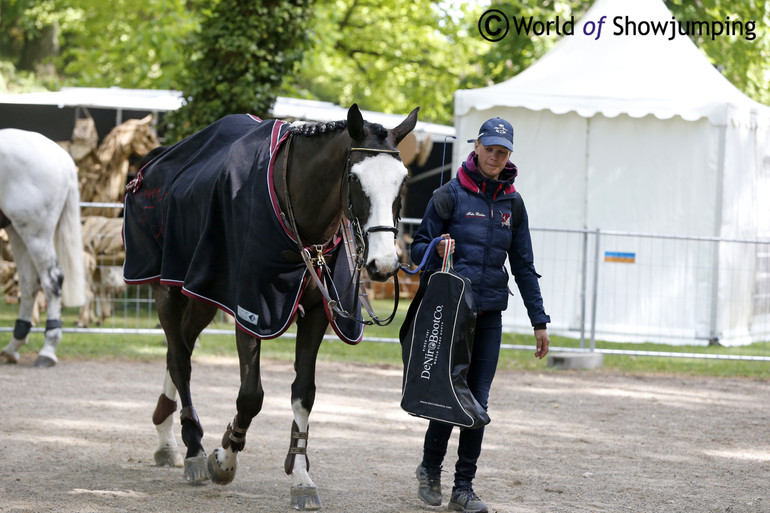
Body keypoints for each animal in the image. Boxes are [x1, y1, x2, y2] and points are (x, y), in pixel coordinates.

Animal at [0, 129, 86, 368]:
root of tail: (62, 158)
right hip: (17, 231)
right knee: (29, 283)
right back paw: (12, 347)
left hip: (35, 233)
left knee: (52, 280)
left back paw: (47, 350)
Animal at [123, 105, 416, 508]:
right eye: (355, 179)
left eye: (402, 182)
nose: (384, 264)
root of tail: (151, 166)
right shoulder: (250, 311)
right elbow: (251, 396)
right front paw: (225, 456)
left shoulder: (318, 314)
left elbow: (304, 394)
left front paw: (302, 475)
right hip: (167, 289)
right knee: (180, 359)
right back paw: (193, 448)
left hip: (201, 295)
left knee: (178, 347)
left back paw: (167, 434)